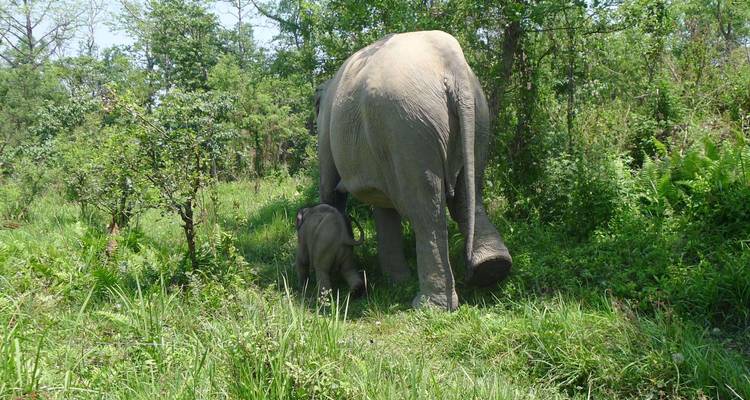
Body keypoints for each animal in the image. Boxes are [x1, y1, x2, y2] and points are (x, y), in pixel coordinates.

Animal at [314, 30, 513, 310]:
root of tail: (452, 64)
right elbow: (383, 206)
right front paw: (397, 281)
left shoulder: (326, 133)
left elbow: (331, 191)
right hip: (476, 117)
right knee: (467, 196)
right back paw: (491, 269)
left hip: (408, 126)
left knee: (425, 210)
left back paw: (428, 305)